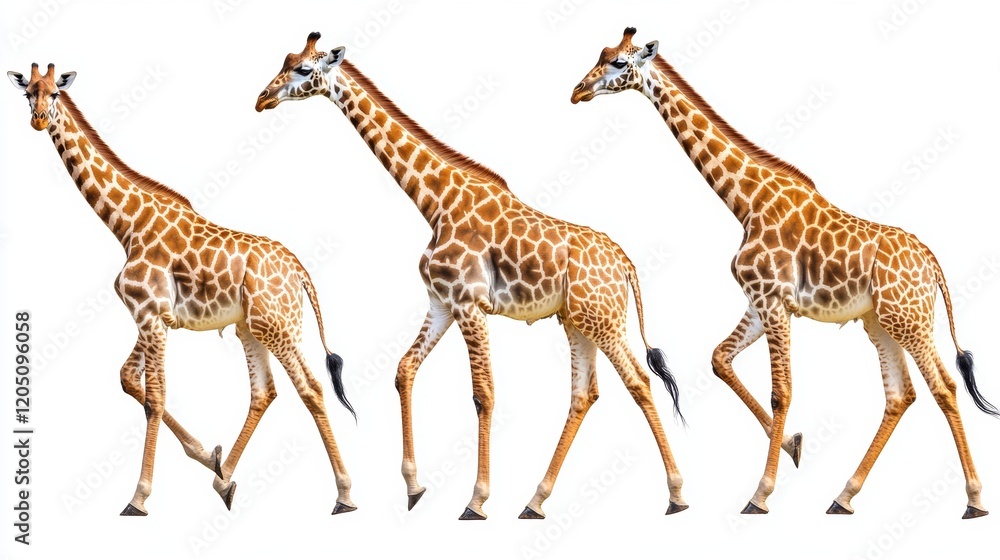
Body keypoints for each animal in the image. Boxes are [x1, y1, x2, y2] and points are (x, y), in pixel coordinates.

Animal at [8, 62, 357, 516]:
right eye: (28, 93)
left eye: (54, 93)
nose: (38, 120)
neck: (127, 225)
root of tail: (299, 269)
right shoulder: (151, 317)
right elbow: (128, 379)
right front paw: (208, 456)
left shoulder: (151, 313)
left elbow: (154, 397)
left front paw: (138, 498)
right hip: (250, 328)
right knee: (264, 392)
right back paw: (225, 481)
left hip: (278, 325)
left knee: (310, 387)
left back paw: (344, 494)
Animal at [255, 32, 687, 520]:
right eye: (284, 61)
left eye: (303, 70)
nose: (262, 98)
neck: (435, 202)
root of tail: (627, 264)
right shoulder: (441, 303)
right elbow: (404, 370)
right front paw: (414, 487)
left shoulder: (469, 303)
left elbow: (484, 393)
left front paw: (476, 501)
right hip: (578, 321)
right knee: (584, 393)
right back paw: (535, 501)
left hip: (605, 319)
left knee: (639, 381)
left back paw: (676, 495)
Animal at [571, 27, 999, 518]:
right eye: (601, 55)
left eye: (620, 63)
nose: (577, 91)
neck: (746, 202)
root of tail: (933, 263)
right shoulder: (761, 302)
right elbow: (720, 359)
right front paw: (794, 445)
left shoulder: (774, 300)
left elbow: (782, 391)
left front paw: (760, 494)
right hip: (880, 321)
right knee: (900, 394)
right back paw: (843, 496)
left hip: (909, 319)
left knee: (944, 386)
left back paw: (974, 499)